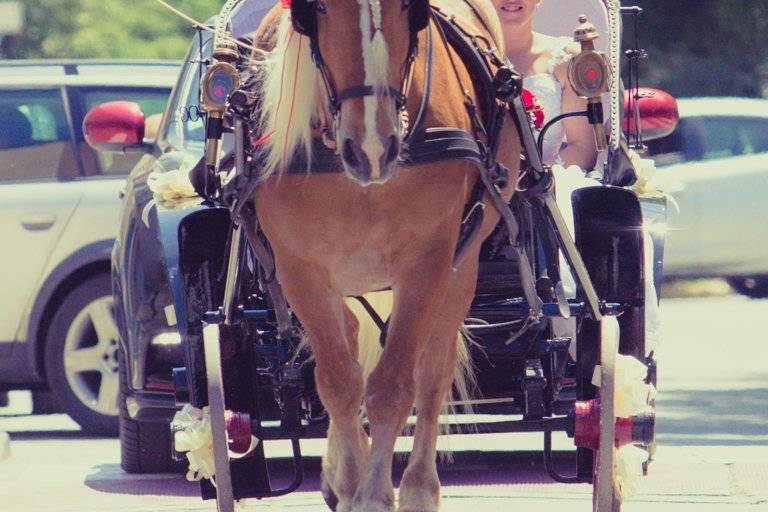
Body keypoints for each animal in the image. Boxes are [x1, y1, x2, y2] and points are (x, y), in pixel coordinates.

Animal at [250, 2, 520, 510]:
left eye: (409, 10)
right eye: (318, 9)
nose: (373, 149)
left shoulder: (427, 261)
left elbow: (394, 385)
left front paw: (374, 494)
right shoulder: (301, 270)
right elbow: (339, 382)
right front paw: (352, 481)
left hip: (463, 261)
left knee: (433, 370)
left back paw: (417, 488)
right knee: (353, 341)